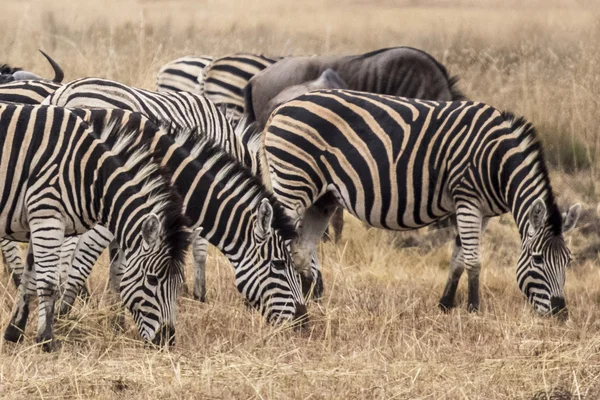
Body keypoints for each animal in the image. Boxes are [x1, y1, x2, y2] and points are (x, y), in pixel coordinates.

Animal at [0, 103, 190, 350]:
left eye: (178, 283)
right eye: (152, 279)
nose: (167, 341)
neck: (89, 174)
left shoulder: (40, 219)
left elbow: (29, 278)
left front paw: (15, 331)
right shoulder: (47, 217)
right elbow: (48, 283)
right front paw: (47, 340)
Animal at [46, 108, 308, 324]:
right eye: (279, 264)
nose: (303, 320)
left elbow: (120, 269)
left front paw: (117, 319)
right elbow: (86, 261)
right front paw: (64, 316)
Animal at [262, 90, 580, 316]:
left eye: (568, 261)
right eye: (537, 259)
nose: (560, 312)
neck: (497, 162)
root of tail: (280, 108)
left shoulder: (482, 212)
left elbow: (458, 259)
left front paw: (446, 304)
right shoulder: (468, 200)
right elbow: (473, 260)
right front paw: (474, 309)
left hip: (321, 198)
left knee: (302, 249)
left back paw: (308, 300)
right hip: (293, 183)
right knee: (281, 241)